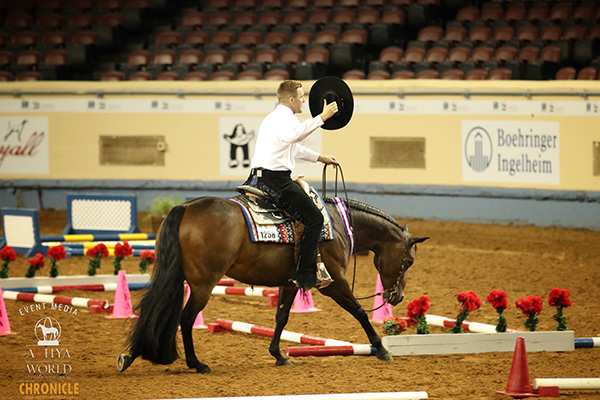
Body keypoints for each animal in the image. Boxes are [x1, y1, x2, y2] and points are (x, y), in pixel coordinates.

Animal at [117, 195, 426, 374]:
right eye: (409, 261)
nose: (397, 297)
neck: (337, 224)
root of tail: (185, 207)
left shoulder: (289, 283)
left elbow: (281, 317)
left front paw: (278, 355)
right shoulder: (333, 282)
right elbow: (360, 312)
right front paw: (382, 349)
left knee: (156, 309)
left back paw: (130, 357)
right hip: (204, 285)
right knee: (185, 318)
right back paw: (197, 363)